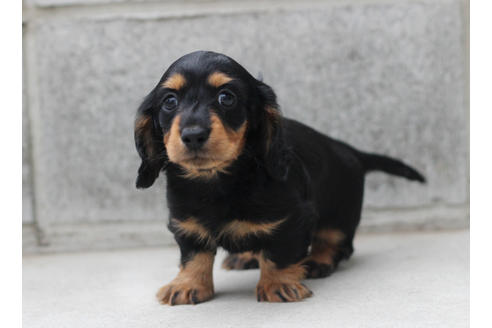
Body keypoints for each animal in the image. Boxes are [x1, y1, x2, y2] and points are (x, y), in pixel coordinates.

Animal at [133, 50, 424, 304]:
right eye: (170, 102)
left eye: (226, 98)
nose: (193, 135)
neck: (218, 181)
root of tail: (350, 150)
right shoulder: (186, 223)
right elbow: (193, 256)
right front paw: (187, 285)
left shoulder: (293, 218)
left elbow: (280, 253)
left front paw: (279, 285)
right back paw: (247, 256)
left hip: (339, 216)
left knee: (336, 242)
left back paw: (318, 261)